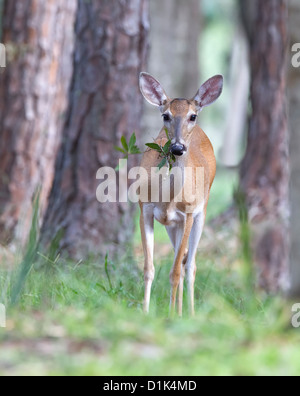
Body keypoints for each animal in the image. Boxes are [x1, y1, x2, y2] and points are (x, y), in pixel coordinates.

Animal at [138, 72, 223, 318]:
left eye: (192, 116)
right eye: (165, 115)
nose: (177, 148)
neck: (168, 199)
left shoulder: (188, 214)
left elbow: (175, 271)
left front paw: (170, 315)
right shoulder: (144, 208)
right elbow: (149, 268)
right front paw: (146, 312)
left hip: (201, 212)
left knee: (190, 265)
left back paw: (189, 313)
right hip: (172, 226)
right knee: (183, 260)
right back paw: (180, 310)